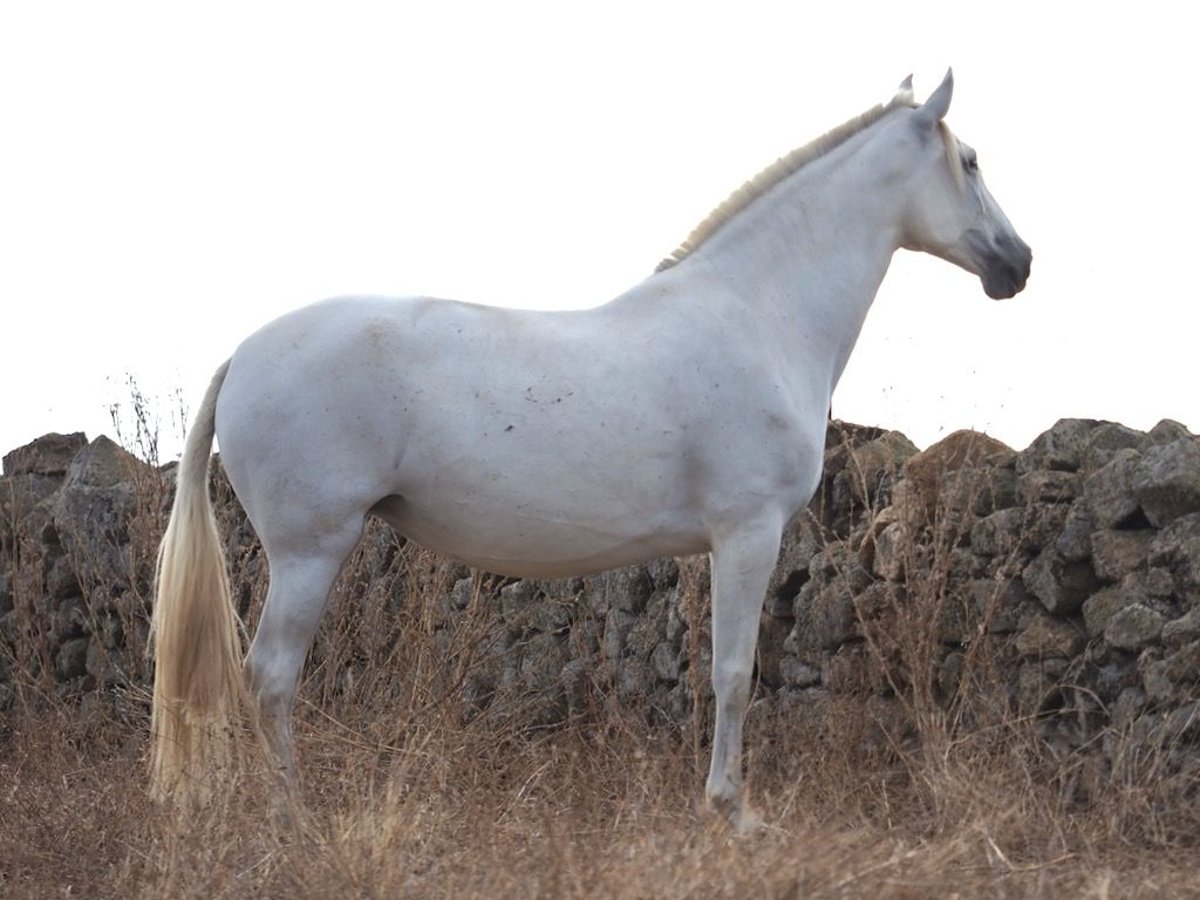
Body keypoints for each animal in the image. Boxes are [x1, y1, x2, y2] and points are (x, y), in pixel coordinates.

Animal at [150, 74, 1032, 830]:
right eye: (972, 160)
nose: (1018, 263)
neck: (757, 313)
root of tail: (243, 356)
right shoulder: (749, 533)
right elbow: (734, 674)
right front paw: (734, 814)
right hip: (311, 551)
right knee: (270, 678)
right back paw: (290, 820)